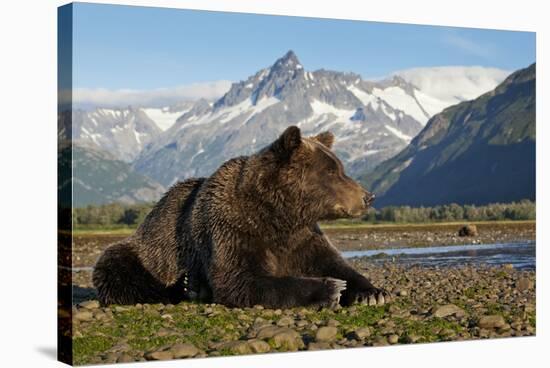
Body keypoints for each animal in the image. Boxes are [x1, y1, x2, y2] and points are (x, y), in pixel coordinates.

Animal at [92, 126, 390, 308]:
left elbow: (334, 262)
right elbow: (240, 279)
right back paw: (187, 287)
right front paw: (330, 288)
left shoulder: (303, 236)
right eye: (331, 171)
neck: (280, 215)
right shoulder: (233, 229)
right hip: (149, 250)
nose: (368, 196)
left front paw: (373, 292)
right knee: (119, 270)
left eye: (340, 167)